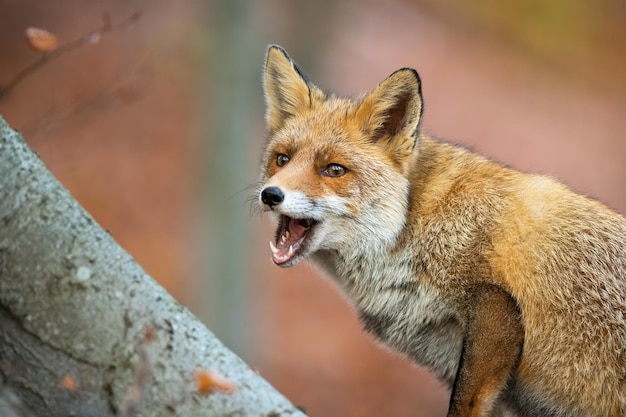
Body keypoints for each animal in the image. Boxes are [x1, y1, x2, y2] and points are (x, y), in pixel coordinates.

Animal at [255, 44, 624, 414]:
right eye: (282, 159)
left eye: (333, 169)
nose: (271, 194)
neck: (415, 224)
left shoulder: (496, 309)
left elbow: (463, 405)